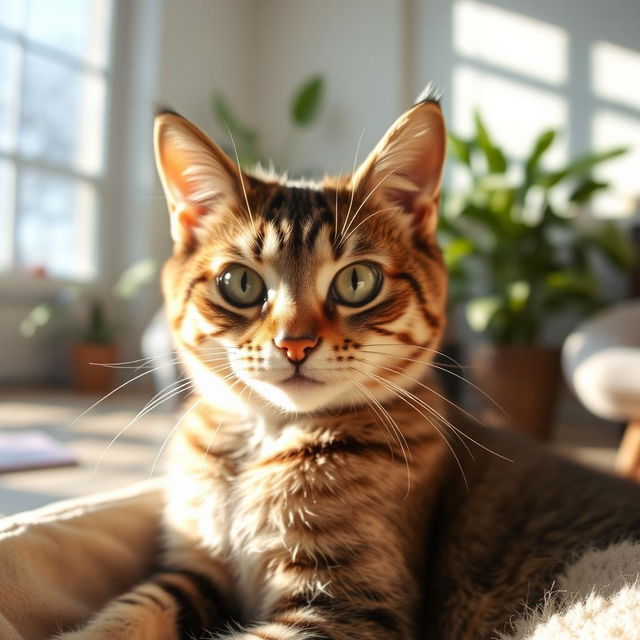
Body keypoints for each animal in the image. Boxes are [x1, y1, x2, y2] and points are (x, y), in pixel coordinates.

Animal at [55, 91, 640, 640]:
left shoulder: (348, 605)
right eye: (239, 283)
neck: (265, 441)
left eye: (358, 281)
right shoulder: (195, 567)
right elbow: (133, 607)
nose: (294, 343)